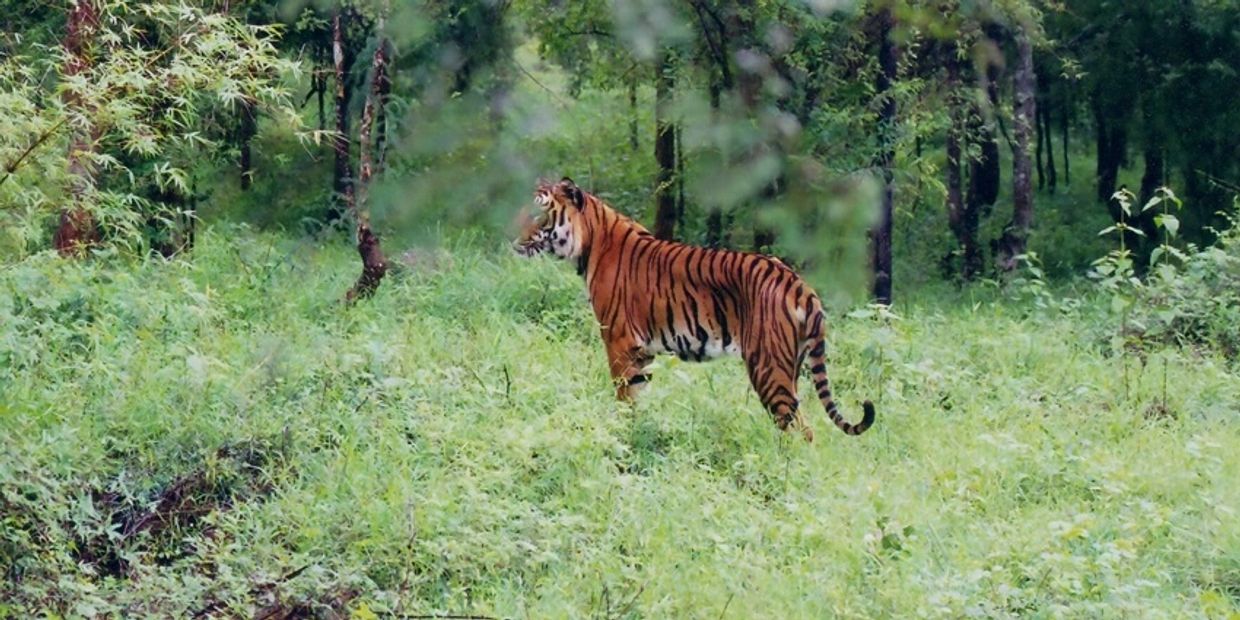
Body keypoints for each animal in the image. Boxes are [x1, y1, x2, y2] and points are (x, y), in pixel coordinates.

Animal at [513, 177, 875, 442]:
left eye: (541, 214)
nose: (513, 238)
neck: (589, 243)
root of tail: (799, 284)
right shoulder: (642, 352)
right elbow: (639, 396)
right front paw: (637, 434)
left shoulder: (618, 341)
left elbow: (624, 398)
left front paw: (620, 436)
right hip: (790, 365)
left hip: (768, 367)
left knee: (801, 429)